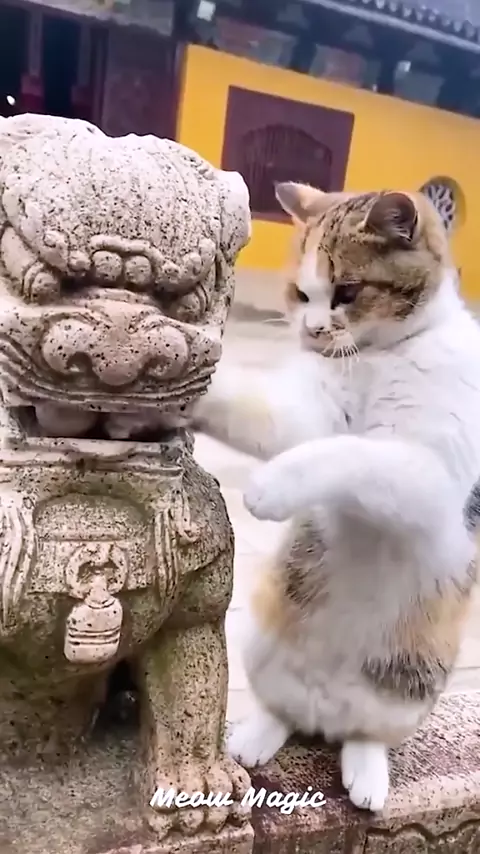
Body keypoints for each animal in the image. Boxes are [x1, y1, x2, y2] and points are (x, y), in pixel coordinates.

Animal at [193, 182, 480, 812]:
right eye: (303, 294)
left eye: (347, 291)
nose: (312, 329)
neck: (383, 355)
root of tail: (326, 709)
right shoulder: (313, 410)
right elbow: (280, 418)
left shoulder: (431, 475)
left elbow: (355, 454)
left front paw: (273, 486)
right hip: (263, 638)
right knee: (283, 709)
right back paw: (258, 737)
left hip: (411, 684)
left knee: (365, 734)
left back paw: (366, 774)